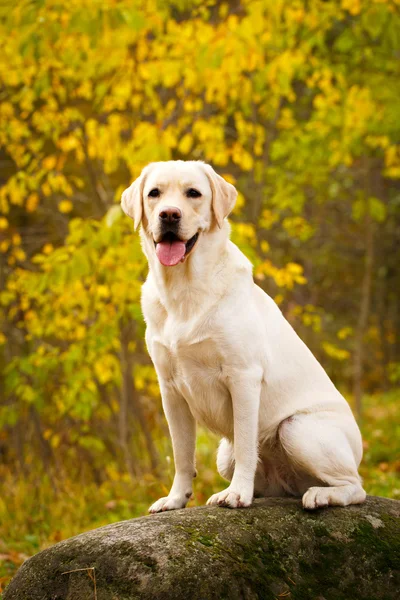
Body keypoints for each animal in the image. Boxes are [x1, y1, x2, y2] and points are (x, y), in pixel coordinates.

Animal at [121, 162, 366, 512]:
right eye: (154, 193)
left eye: (193, 193)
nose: (169, 215)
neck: (185, 289)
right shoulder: (169, 389)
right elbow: (182, 454)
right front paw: (175, 498)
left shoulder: (243, 377)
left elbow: (247, 444)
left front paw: (237, 493)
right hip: (226, 456)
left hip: (296, 428)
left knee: (355, 486)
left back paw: (320, 495)